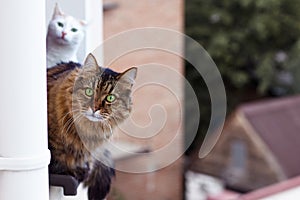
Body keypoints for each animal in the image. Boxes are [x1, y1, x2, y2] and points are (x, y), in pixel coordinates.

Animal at [47, 53, 137, 200]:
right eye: (89, 92)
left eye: (110, 98)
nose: (95, 108)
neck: (88, 129)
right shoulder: (53, 142)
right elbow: (57, 158)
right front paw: (71, 170)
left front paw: (83, 168)